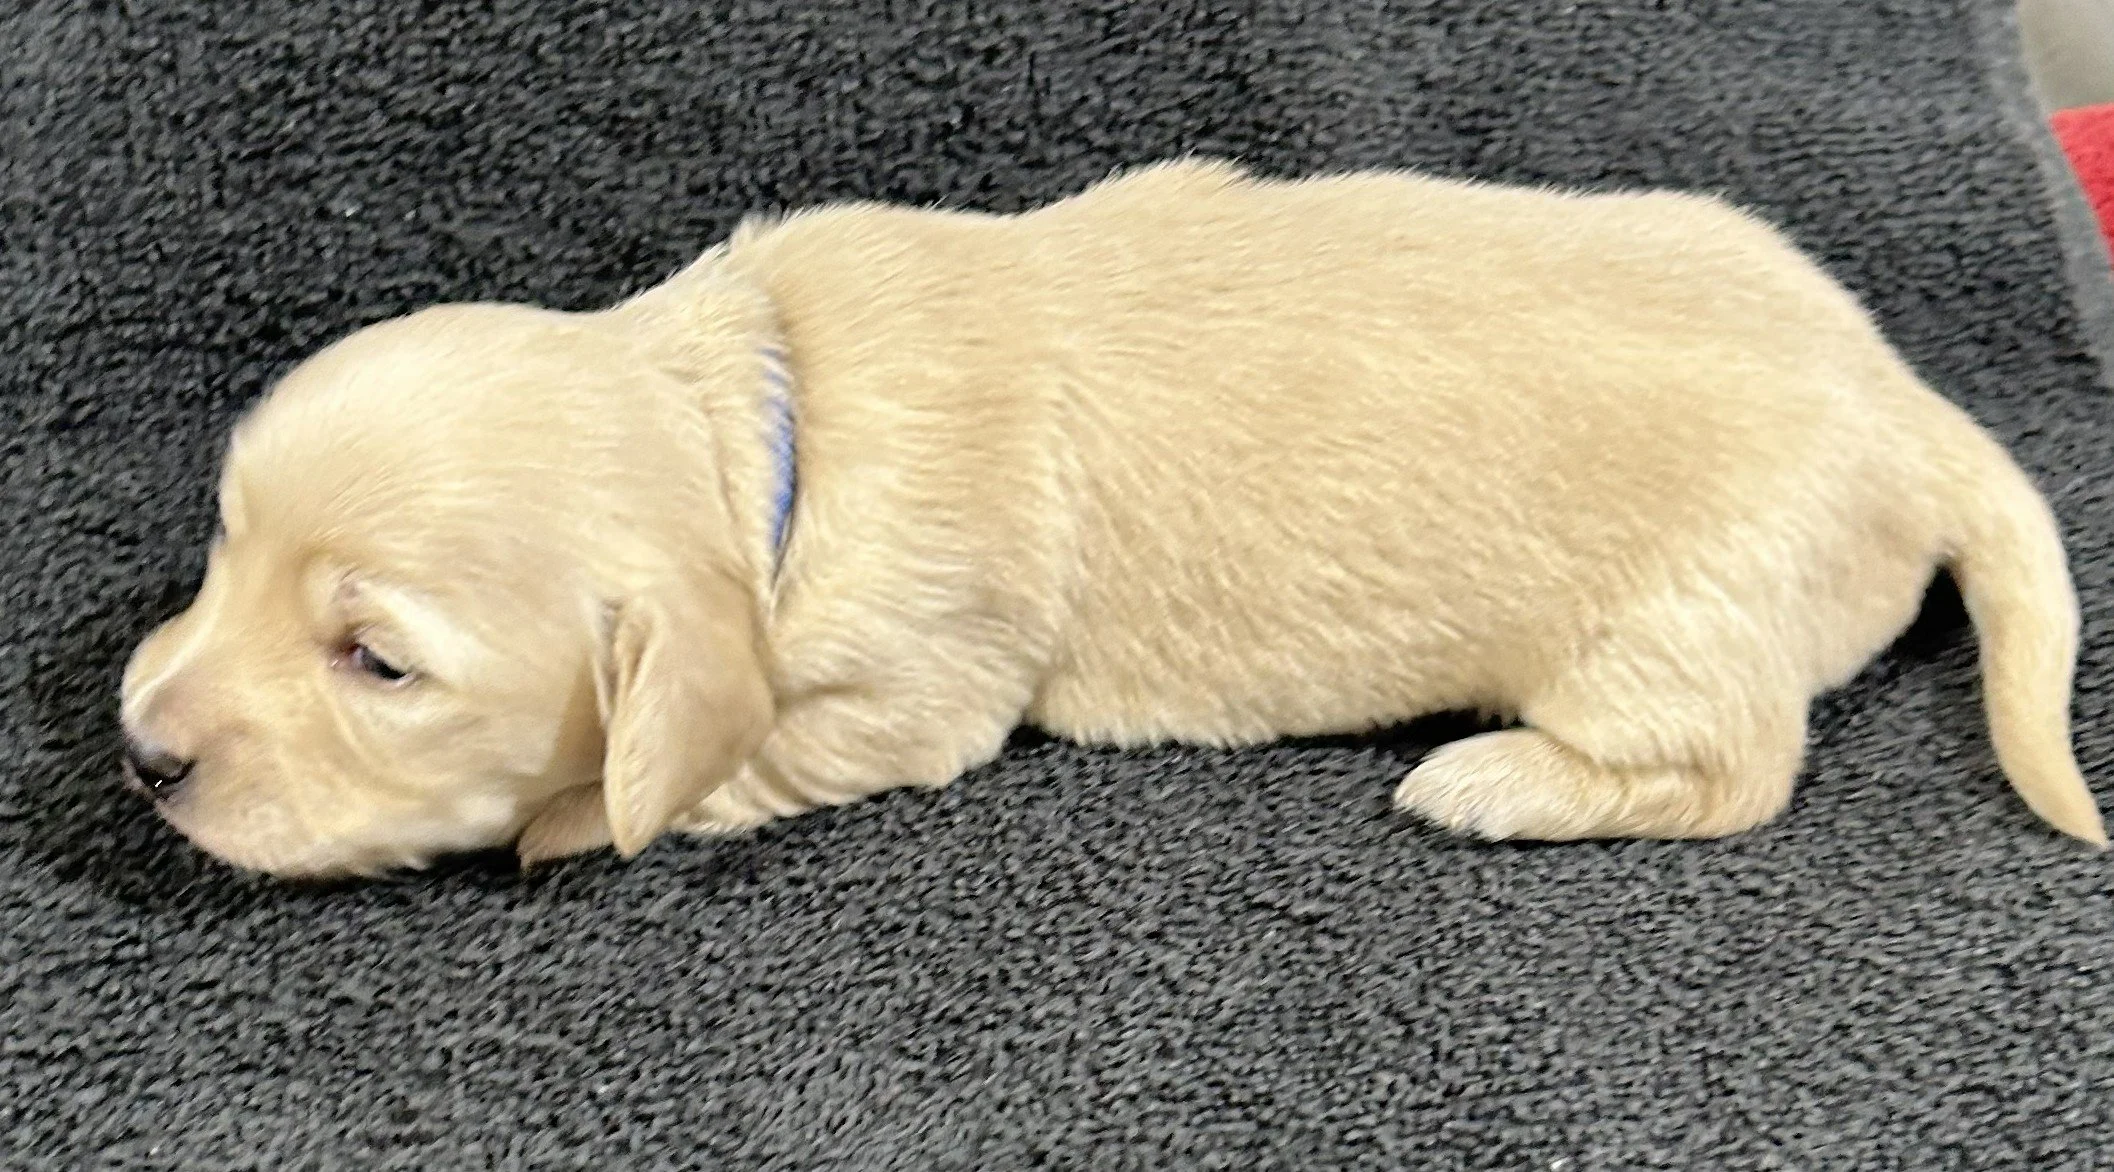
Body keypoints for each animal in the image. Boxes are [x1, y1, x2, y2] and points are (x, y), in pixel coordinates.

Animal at [118, 159, 2109, 878]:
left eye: (377, 662)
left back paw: (1490, 780)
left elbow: (734, 753)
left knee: (1733, 766)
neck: (768, 425)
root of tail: (1907, 403)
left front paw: (560, 816)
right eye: (219, 547)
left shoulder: (912, 688)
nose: (137, 753)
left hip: (1668, 630)